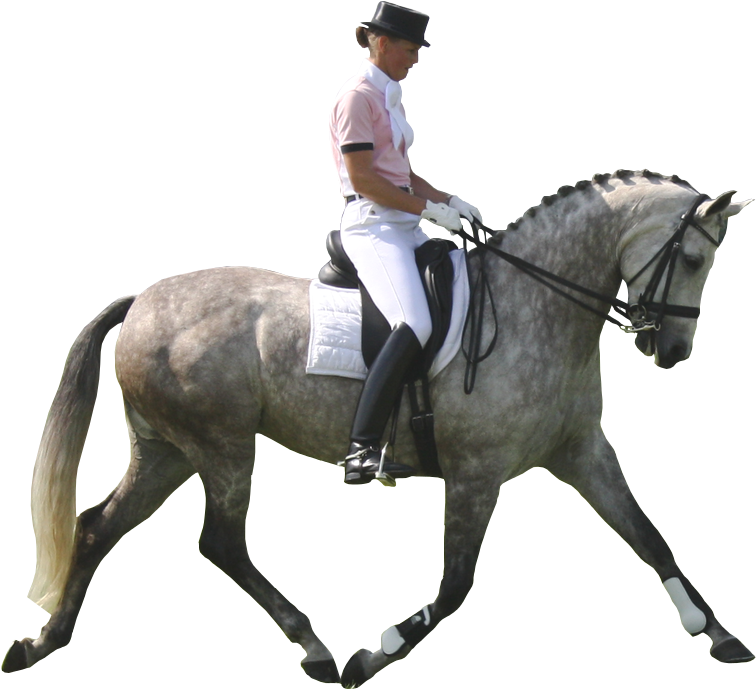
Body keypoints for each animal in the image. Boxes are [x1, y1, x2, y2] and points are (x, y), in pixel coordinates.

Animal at [3, 171, 752, 684]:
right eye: (692, 259)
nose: (673, 352)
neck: (535, 304)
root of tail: (141, 300)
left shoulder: (583, 450)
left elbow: (649, 536)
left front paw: (718, 634)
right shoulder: (476, 474)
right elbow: (454, 587)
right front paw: (374, 653)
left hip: (167, 450)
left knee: (97, 526)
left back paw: (41, 644)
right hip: (221, 446)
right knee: (219, 540)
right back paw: (315, 647)